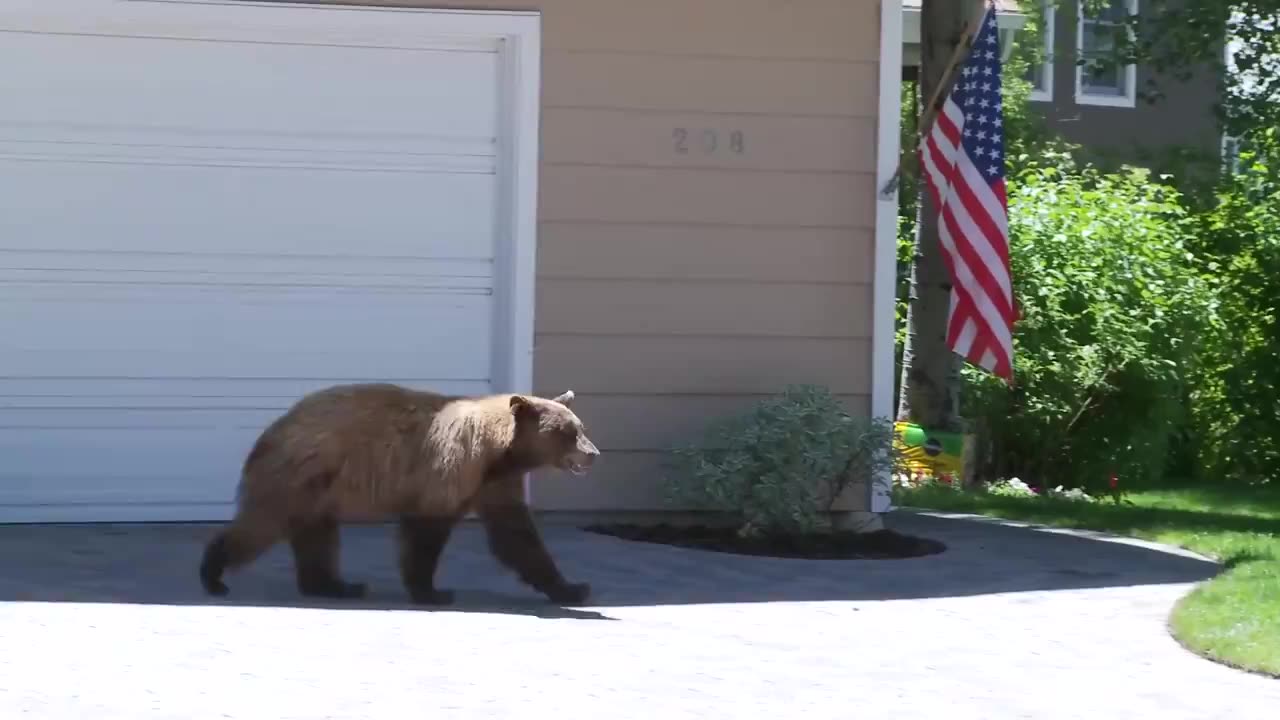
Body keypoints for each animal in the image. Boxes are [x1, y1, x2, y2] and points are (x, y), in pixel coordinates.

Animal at [198, 384, 599, 602]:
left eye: (580, 426)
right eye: (569, 432)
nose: (593, 453)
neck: (497, 452)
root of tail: (272, 429)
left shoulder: (495, 484)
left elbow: (517, 537)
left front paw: (572, 588)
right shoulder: (447, 469)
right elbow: (425, 534)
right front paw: (432, 591)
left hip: (317, 489)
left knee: (317, 536)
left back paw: (336, 585)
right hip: (299, 476)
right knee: (262, 523)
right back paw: (213, 573)